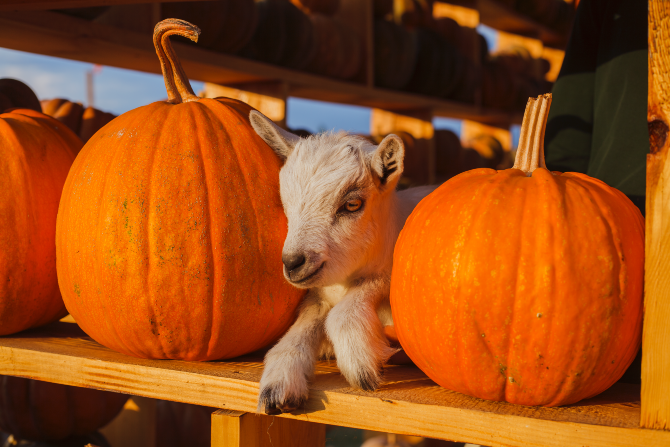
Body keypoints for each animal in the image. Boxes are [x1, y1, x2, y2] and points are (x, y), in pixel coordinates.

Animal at [251, 112, 436, 416]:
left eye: (352, 205)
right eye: (285, 201)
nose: (292, 262)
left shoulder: (389, 272)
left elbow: (349, 306)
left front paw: (361, 365)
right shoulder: (319, 294)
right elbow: (303, 325)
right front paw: (278, 385)